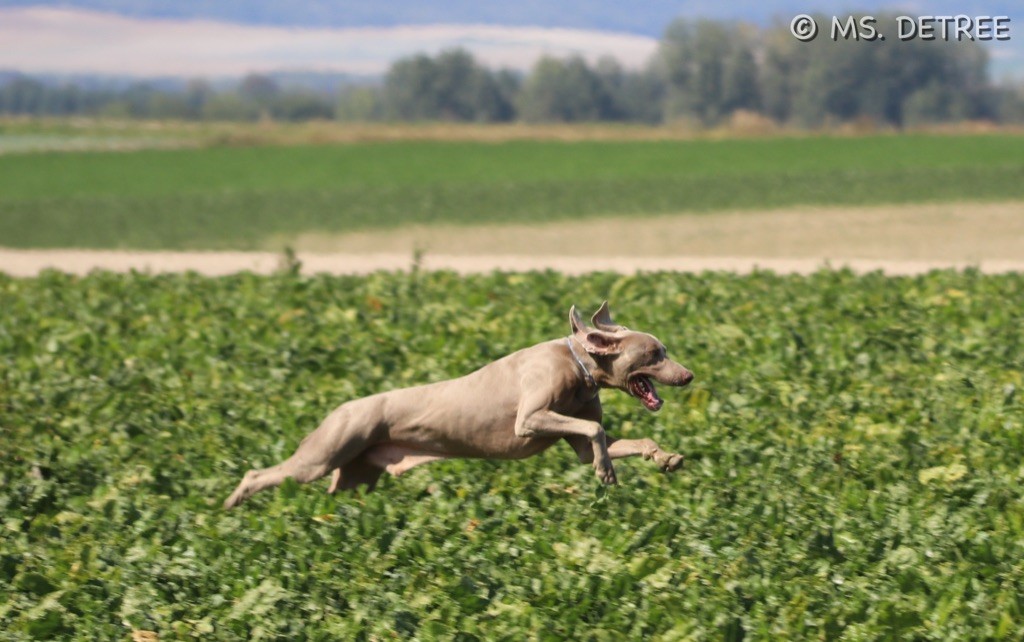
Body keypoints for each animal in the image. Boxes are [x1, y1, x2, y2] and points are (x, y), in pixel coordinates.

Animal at [223, 301, 688, 507]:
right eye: (654, 353)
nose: (688, 376)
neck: (580, 365)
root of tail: (339, 409)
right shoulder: (531, 418)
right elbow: (594, 430)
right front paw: (605, 472)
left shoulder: (574, 434)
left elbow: (609, 439)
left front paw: (664, 457)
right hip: (324, 453)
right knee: (260, 474)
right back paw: (232, 506)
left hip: (355, 475)